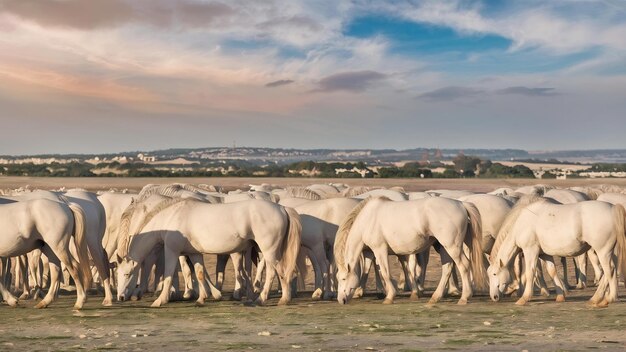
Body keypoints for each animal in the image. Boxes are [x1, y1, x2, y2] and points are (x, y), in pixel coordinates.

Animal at [117, 199, 302, 306]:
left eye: (127, 274)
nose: (120, 297)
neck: (171, 218)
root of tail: (282, 208)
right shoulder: (194, 253)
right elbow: (199, 273)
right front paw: (202, 298)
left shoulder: (171, 250)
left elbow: (168, 275)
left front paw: (159, 300)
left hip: (269, 251)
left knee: (275, 272)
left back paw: (273, 299)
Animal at [334, 198, 486, 306]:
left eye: (343, 279)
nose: (341, 300)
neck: (368, 220)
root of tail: (461, 204)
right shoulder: (370, 253)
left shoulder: (380, 249)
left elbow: (385, 272)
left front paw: (390, 296)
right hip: (445, 248)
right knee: (447, 268)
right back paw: (435, 297)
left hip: (452, 246)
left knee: (464, 266)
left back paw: (464, 297)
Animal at [488, 197, 624, 306]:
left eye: (494, 274)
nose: (494, 296)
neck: (522, 223)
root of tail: (613, 208)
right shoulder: (544, 254)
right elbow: (552, 271)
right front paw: (560, 296)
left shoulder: (530, 251)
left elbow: (530, 272)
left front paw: (524, 298)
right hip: (609, 252)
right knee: (609, 271)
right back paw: (597, 298)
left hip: (602, 251)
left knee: (609, 271)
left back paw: (609, 298)